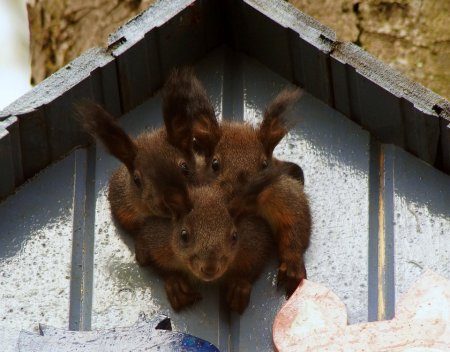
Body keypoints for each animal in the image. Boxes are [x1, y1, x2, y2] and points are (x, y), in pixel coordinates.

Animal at [134, 157, 288, 314]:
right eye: (184, 235)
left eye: (234, 236)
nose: (210, 269)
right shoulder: (157, 238)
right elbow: (154, 262)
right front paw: (175, 283)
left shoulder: (254, 241)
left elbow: (256, 263)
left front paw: (239, 285)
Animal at [192, 85, 312, 296]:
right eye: (215, 164)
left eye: (264, 164)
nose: (242, 195)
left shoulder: (284, 194)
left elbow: (295, 223)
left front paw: (292, 266)